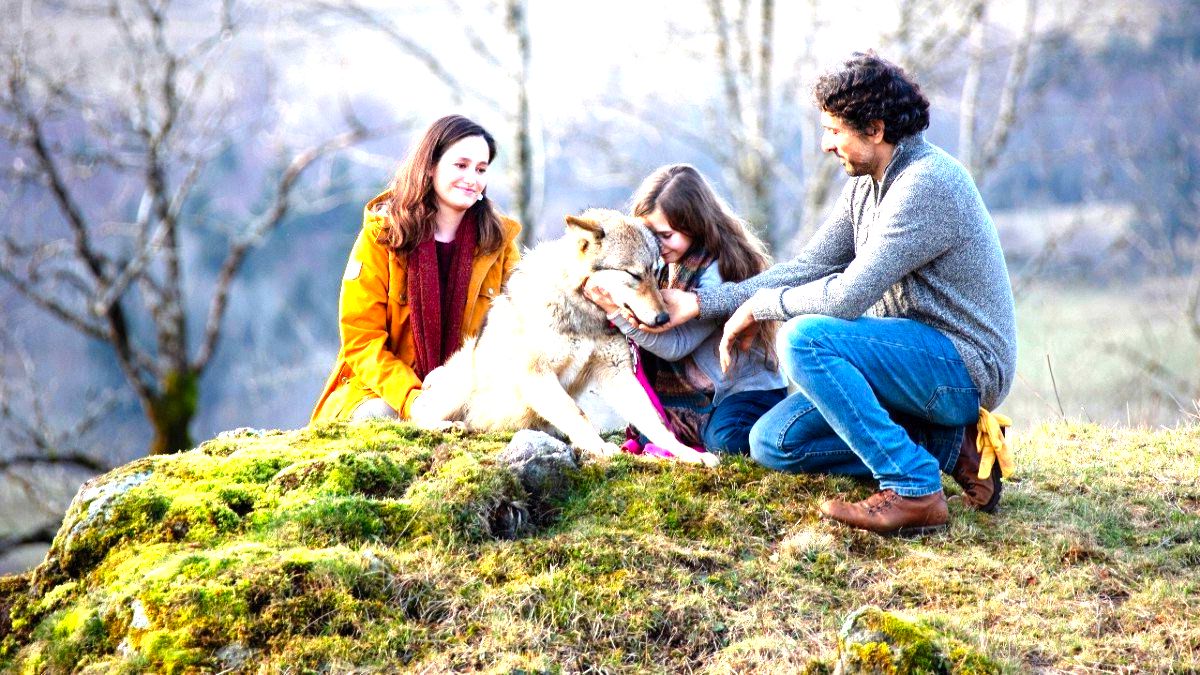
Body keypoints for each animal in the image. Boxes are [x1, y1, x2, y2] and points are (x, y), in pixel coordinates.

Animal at [408, 207, 715, 466]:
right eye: (633, 275)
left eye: (655, 272)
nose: (664, 318)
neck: (584, 313)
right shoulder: (537, 373)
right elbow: (576, 412)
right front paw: (598, 446)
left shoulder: (618, 374)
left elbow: (657, 424)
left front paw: (689, 454)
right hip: (462, 381)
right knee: (418, 415)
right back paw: (448, 426)